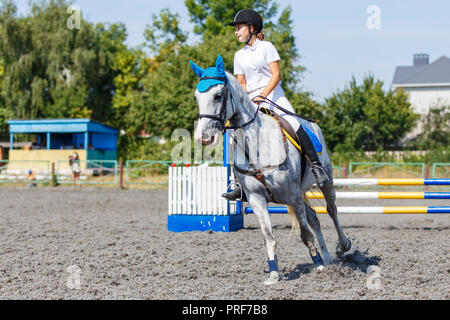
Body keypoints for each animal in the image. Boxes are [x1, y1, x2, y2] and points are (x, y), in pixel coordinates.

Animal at [190, 55, 352, 284]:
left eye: (218, 95)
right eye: (197, 96)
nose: (203, 137)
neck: (256, 143)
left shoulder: (293, 196)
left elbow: (305, 234)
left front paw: (318, 265)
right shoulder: (257, 199)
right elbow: (269, 236)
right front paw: (274, 273)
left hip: (325, 181)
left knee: (331, 210)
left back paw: (341, 247)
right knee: (314, 217)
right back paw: (327, 258)